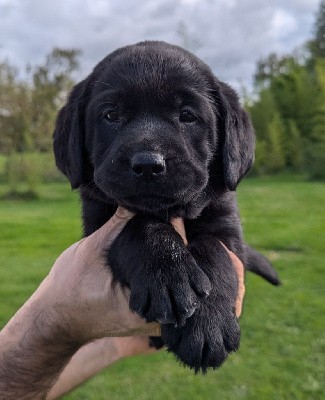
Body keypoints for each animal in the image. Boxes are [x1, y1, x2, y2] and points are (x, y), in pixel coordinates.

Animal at [53, 40, 278, 372]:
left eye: (187, 115)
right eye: (111, 115)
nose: (148, 164)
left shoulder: (226, 223)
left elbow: (214, 249)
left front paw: (207, 325)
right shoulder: (100, 223)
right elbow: (138, 225)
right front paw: (167, 272)